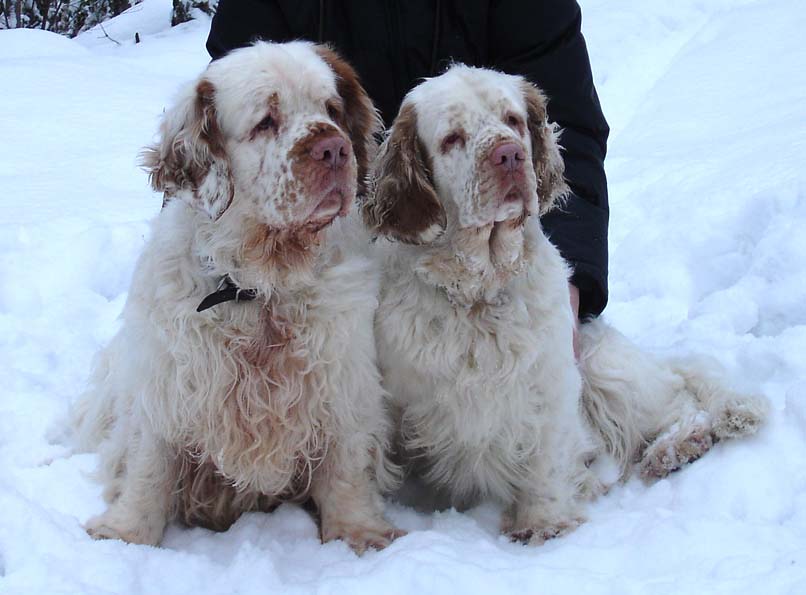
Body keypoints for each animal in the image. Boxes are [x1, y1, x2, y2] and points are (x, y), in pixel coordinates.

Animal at [72, 41, 402, 554]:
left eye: (331, 110)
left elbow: (347, 464)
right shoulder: (168, 383)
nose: (335, 148)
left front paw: (358, 535)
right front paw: (126, 534)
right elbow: (149, 465)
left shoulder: (342, 380)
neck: (258, 288)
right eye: (266, 121)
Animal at [362, 65, 769, 544]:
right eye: (452, 138)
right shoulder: (399, 403)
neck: (480, 292)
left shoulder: (549, 381)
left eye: (513, 120)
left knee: (678, 397)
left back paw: (676, 445)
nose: (509, 155)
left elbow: (546, 461)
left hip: (603, 366)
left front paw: (543, 525)